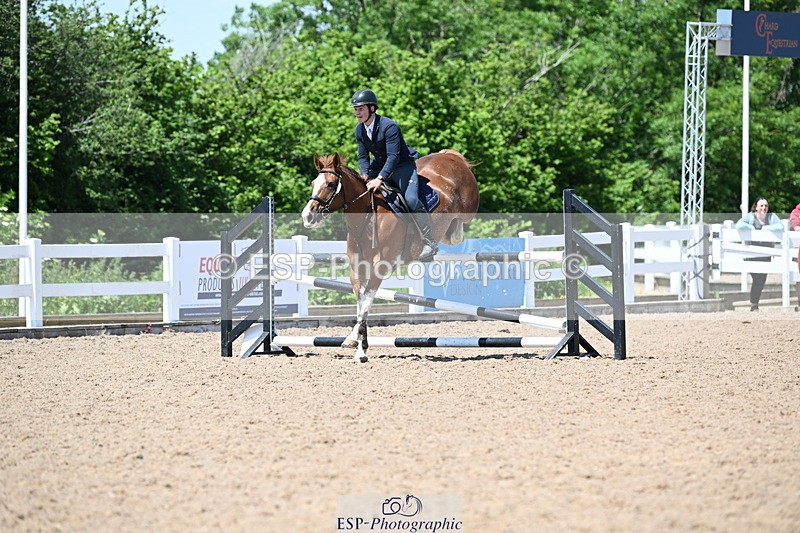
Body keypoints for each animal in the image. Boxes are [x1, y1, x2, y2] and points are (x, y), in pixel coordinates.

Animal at [300, 150, 479, 362]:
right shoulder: (357, 269)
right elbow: (361, 302)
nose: (308, 216)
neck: (367, 218)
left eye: (330, 184)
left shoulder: (380, 267)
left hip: (468, 208)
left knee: (460, 226)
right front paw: (355, 341)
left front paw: (361, 351)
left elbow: (366, 301)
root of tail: (449, 156)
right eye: (313, 183)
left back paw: (445, 237)